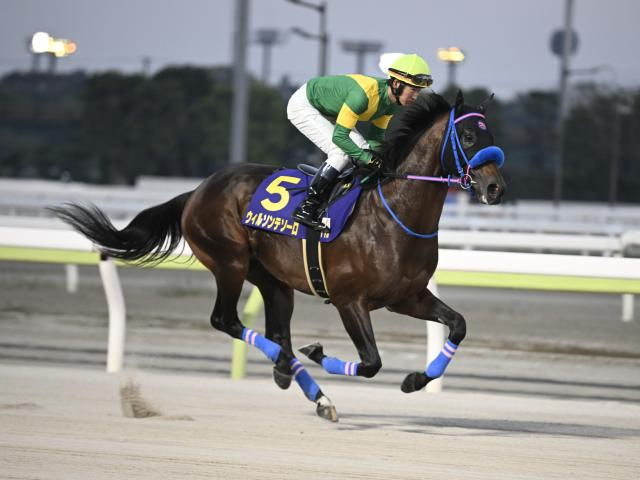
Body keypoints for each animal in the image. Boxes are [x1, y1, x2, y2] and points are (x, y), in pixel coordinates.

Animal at [51, 91, 506, 422]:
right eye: (468, 138)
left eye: (492, 137)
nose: (495, 188)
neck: (393, 213)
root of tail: (197, 191)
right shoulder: (349, 300)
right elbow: (371, 362)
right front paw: (319, 352)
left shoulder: (406, 296)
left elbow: (458, 325)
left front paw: (414, 380)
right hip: (229, 262)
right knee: (227, 321)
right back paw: (291, 366)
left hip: (272, 280)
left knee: (276, 332)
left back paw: (307, 387)